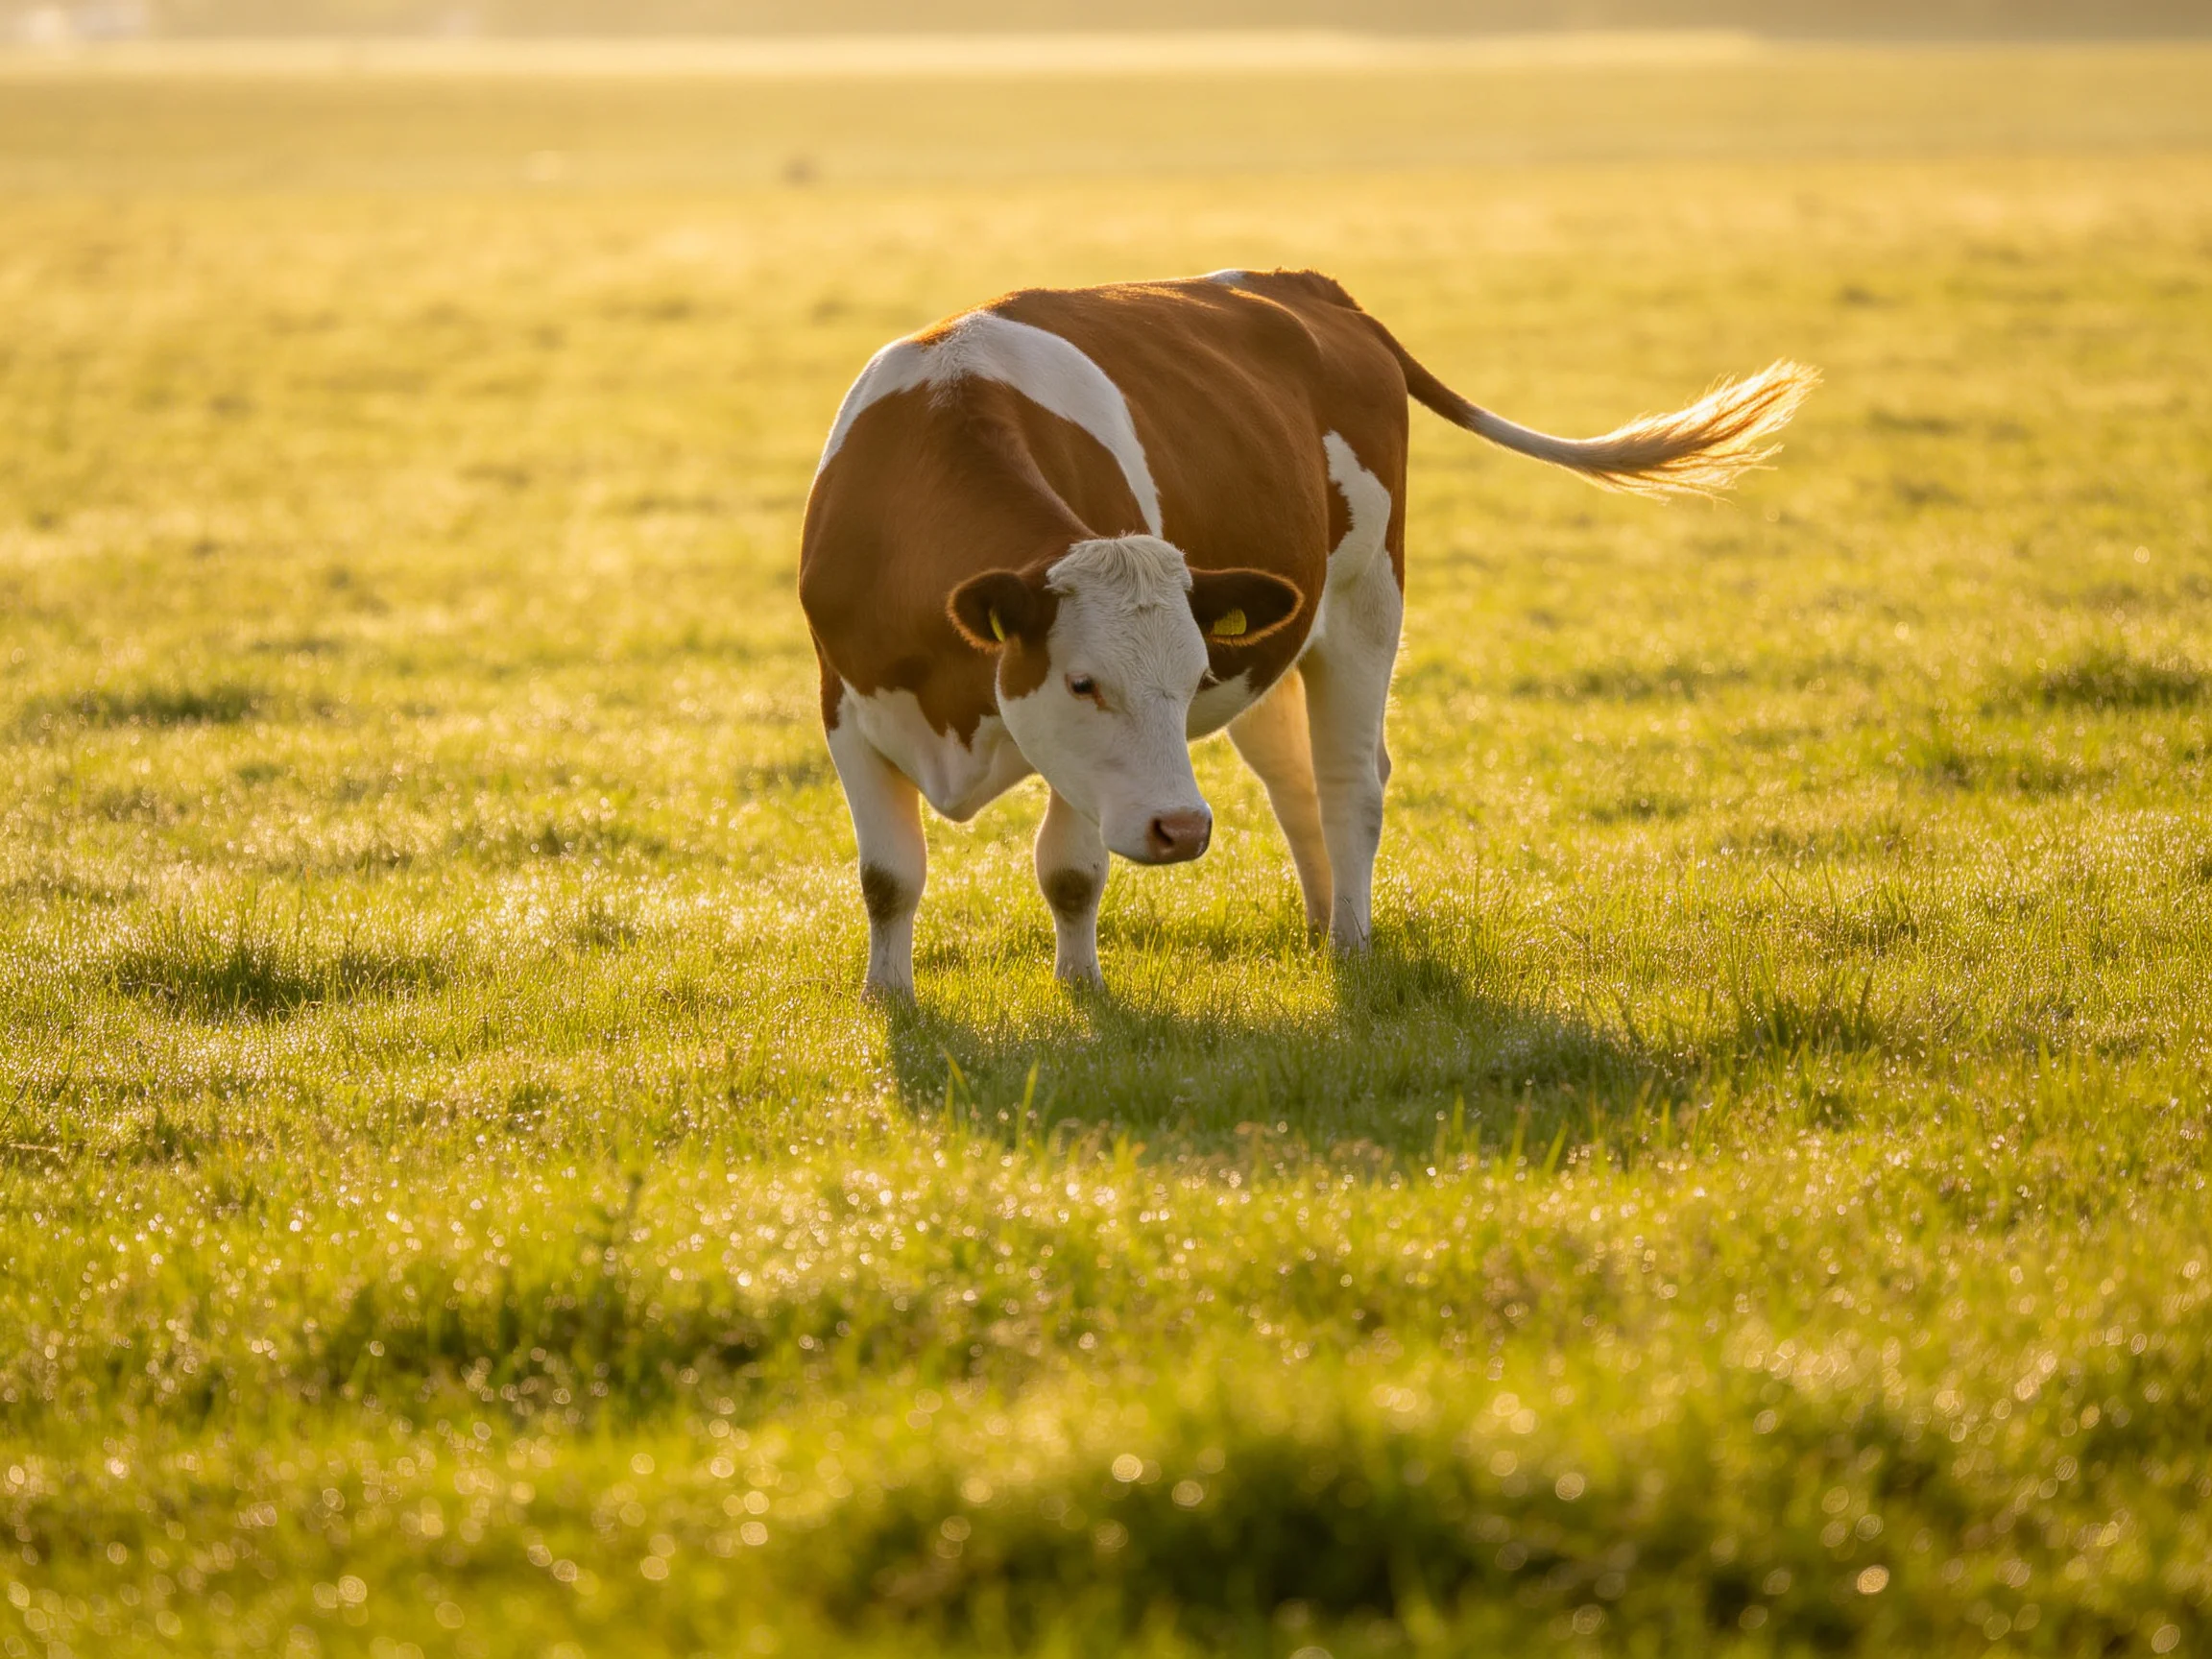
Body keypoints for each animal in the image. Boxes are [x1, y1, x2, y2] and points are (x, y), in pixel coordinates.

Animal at [798, 269, 1816, 997]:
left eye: (1185, 680)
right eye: (1084, 682)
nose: (1182, 828)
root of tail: (1306, 287)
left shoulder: (1082, 764)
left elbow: (1071, 872)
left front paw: (1082, 988)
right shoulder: (843, 702)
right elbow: (889, 876)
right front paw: (888, 999)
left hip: (1367, 604)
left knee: (1348, 784)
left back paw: (1353, 942)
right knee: (1294, 784)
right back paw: (1322, 922)